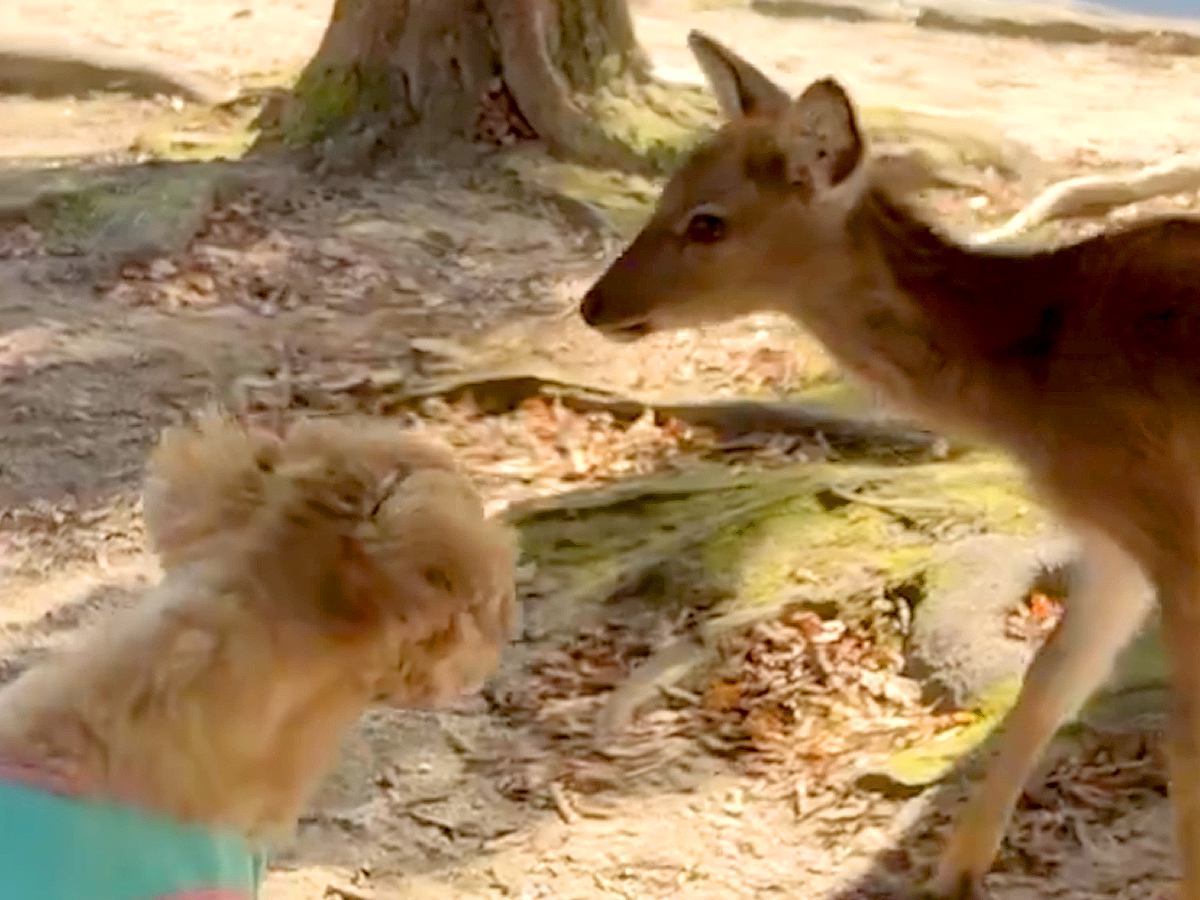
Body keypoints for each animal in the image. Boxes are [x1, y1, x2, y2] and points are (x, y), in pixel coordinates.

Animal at [579, 29, 1200, 900]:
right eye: (666, 190)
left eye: (708, 223)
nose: (594, 304)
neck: (1039, 379)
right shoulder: (1117, 539)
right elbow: (1048, 683)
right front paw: (954, 876)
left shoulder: (1170, 522)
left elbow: (1183, 746)